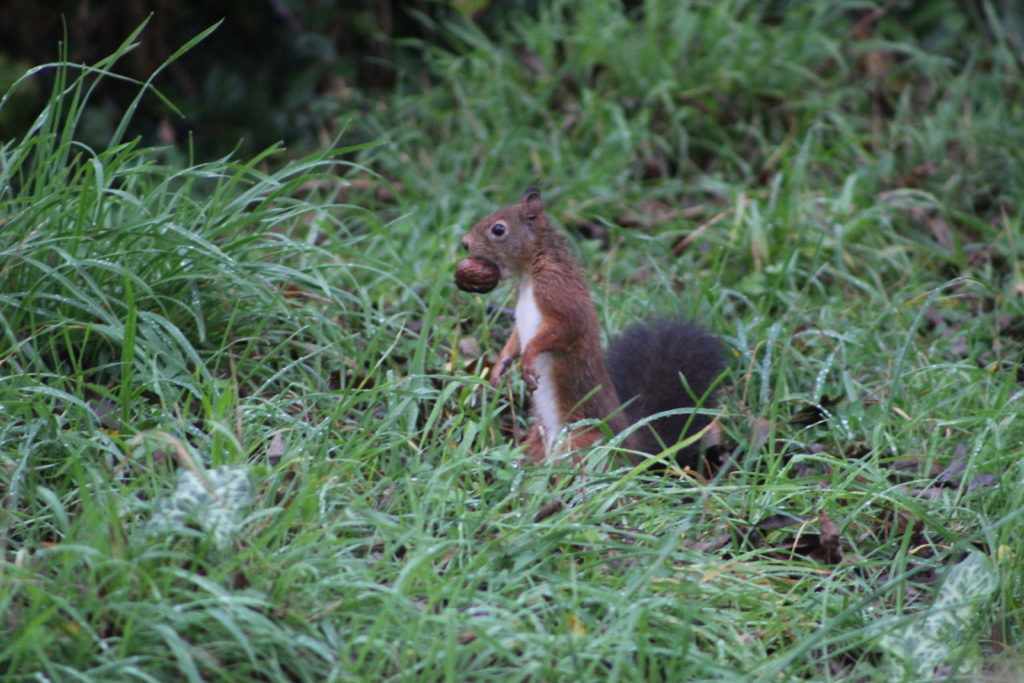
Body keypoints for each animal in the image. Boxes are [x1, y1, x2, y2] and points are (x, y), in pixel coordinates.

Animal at [460, 188, 724, 471]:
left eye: (498, 229)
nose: (465, 243)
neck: (529, 273)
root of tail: (629, 449)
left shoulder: (560, 293)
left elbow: (563, 330)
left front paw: (529, 359)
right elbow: (515, 340)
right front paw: (501, 365)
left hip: (581, 440)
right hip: (539, 440)